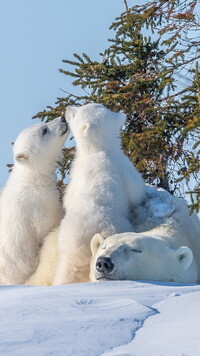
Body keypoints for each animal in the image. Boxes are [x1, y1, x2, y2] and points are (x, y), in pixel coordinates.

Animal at [0, 115, 69, 286]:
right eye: (44, 130)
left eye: (43, 124)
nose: (63, 118)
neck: (33, 177)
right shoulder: (39, 204)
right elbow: (48, 225)